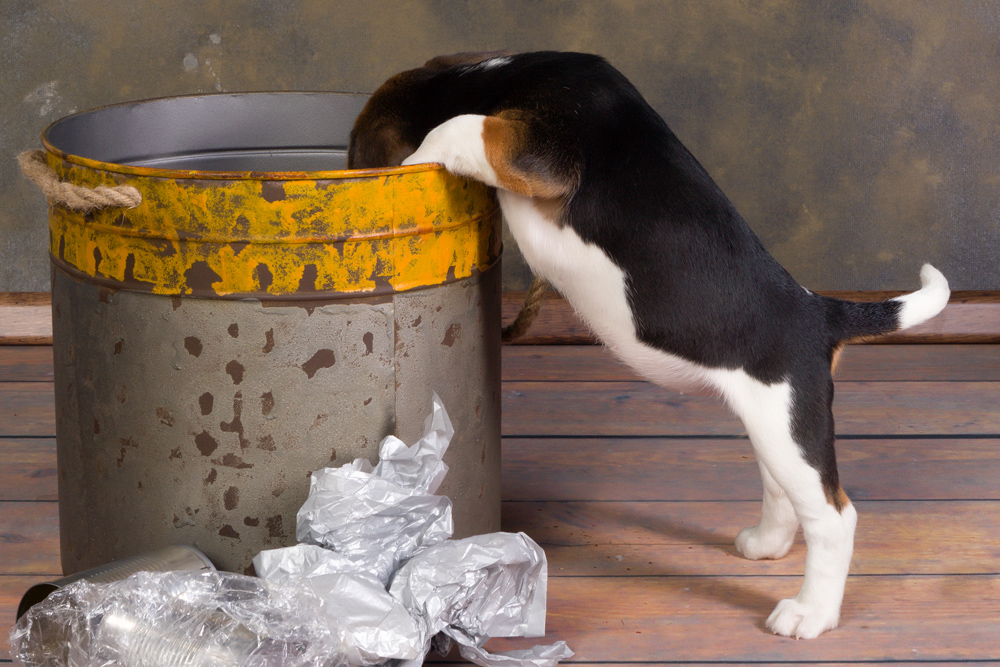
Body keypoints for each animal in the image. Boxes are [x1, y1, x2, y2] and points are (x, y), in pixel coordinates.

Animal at [348, 51, 948, 636]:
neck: (493, 76)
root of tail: (821, 312)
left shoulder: (536, 150)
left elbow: (462, 127)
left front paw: (413, 162)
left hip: (789, 427)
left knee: (834, 519)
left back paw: (810, 614)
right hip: (774, 422)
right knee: (784, 491)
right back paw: (766, 544)